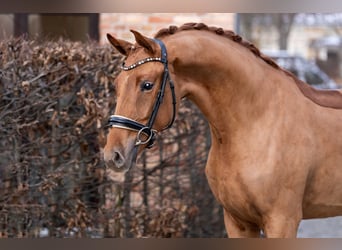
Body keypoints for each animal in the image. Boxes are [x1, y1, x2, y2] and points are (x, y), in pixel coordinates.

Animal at [103, 23, 342, 238]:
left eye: (147, 85)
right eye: (116, 84)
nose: (113, 155)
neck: (256, 121)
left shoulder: (282, 221)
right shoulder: (238, 221)